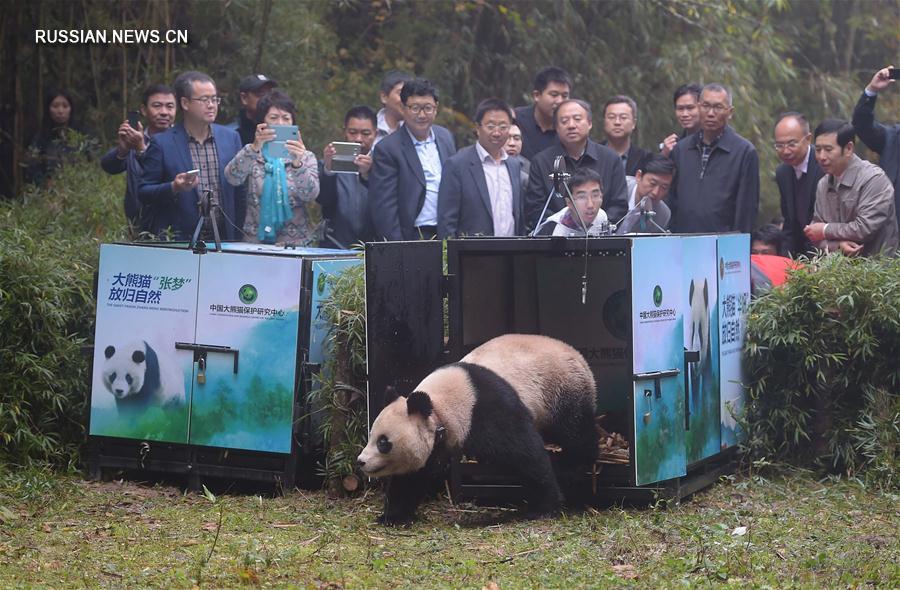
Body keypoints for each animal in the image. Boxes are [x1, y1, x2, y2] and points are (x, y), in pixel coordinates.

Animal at [356, 336, 596, 524]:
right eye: (371, 436)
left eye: (383, 442)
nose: (361, 461)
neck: (438, 406)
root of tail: (578, 356)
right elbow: (412, 474)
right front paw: (393, 516)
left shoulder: (485, 409)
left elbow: (526, 453)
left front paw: (545, 507)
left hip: (561, 391)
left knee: (576, 431)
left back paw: (577, 467)